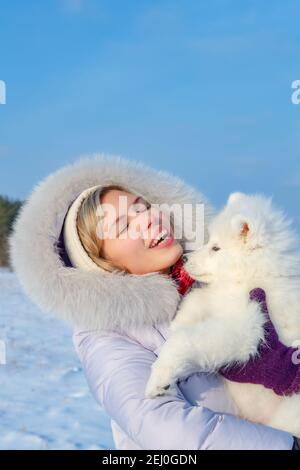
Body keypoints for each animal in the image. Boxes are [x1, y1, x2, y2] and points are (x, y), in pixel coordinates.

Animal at [145, 191, 300, 436]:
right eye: (209, 242)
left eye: (216, 248)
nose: (185, 258)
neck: (252, 275)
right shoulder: (221, 299)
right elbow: (199, 300)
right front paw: (179, 321)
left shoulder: (250, 323)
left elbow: (185, 339)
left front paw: (159, 379)